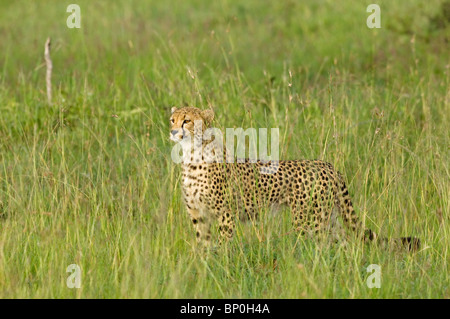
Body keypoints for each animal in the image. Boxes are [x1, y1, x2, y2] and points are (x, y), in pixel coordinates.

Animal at [169, 108, 418, 252]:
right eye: (172, 120)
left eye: (187, 121)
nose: (172, 131)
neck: (192, 156)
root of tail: (326, 164)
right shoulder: (198, 215)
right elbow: (203, 245)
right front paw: (204, 267)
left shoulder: (225, 215)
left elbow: (221, 246)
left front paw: (220, 265)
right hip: (328, 217)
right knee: (342, 242)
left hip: (309, 221)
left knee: (324, 246)